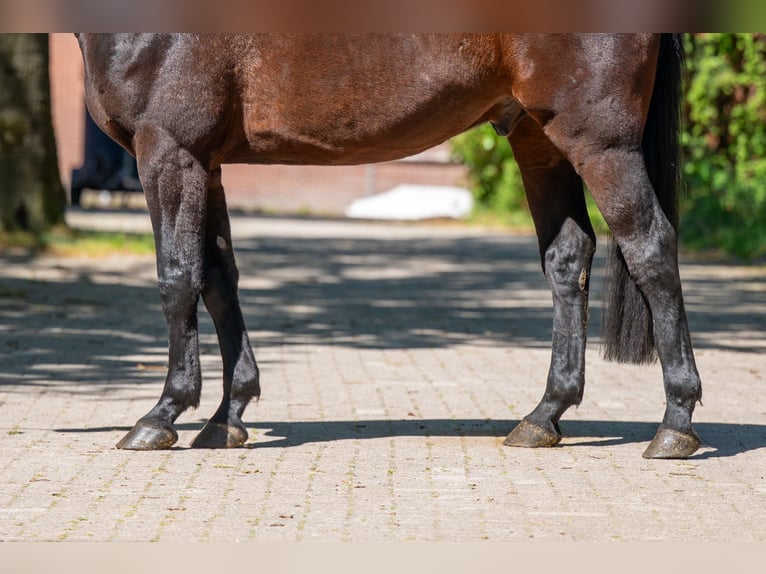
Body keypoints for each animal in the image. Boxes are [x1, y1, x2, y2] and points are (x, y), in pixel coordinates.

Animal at [76, 33, 702, 459]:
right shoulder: (205, 164)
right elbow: (218, 283)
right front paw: (227, 416)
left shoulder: (170, 151)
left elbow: (178, 279)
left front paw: (162, 414)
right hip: (537, 139)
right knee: (569, 259)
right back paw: (543, 416)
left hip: (601, 144)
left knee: (651, 250)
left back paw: (675, 423)